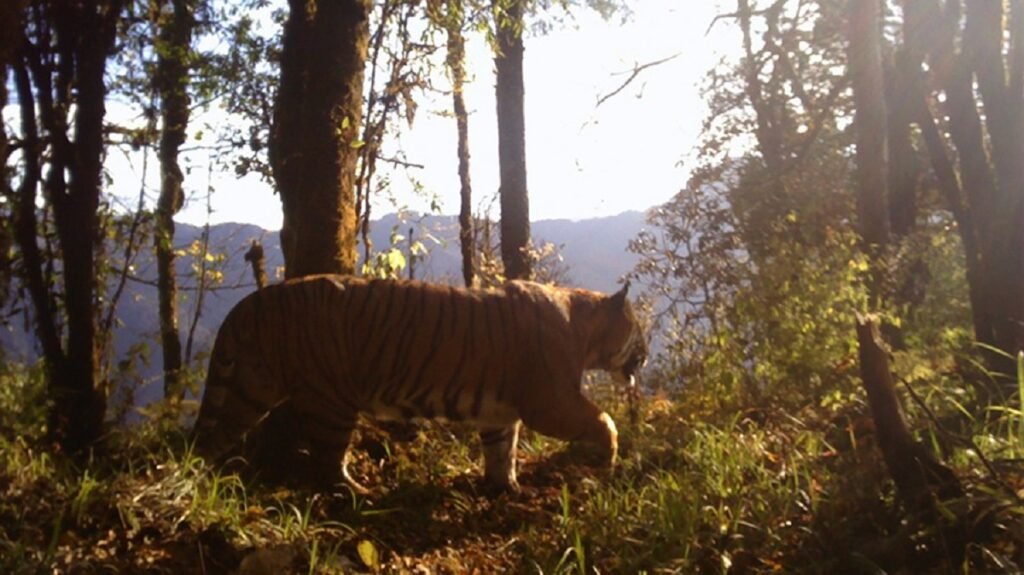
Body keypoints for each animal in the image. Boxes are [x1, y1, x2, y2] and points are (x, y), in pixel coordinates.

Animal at [191, 275, 647, 493]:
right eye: (639, 331)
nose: (645, 353)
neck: (587, 335)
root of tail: (255, 299)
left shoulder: (500, 413)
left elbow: (502, 450)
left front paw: (507, 488)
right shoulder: (551, 402)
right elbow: (604, 420)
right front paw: (608, 457)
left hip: (251, 387)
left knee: (215, 436)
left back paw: (198, 479)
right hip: (331, 401)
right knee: (327, 460)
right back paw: (357, 493)